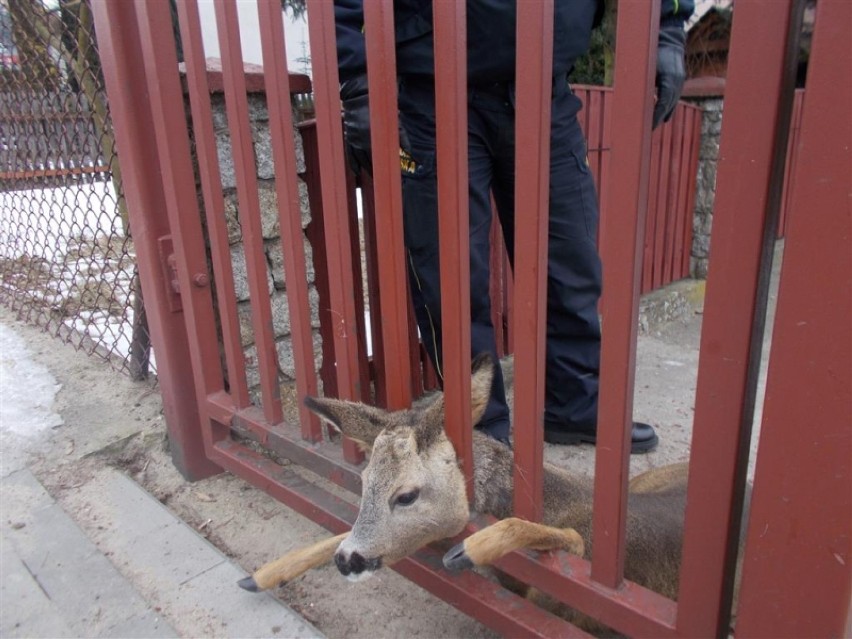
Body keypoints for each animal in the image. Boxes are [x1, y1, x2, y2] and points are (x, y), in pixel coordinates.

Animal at [238, 358, 732, 632]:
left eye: (407, 495)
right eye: (363, 485)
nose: (349, 561)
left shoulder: (582, 584)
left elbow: (567, 541)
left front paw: (470, 550)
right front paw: (262, 575)